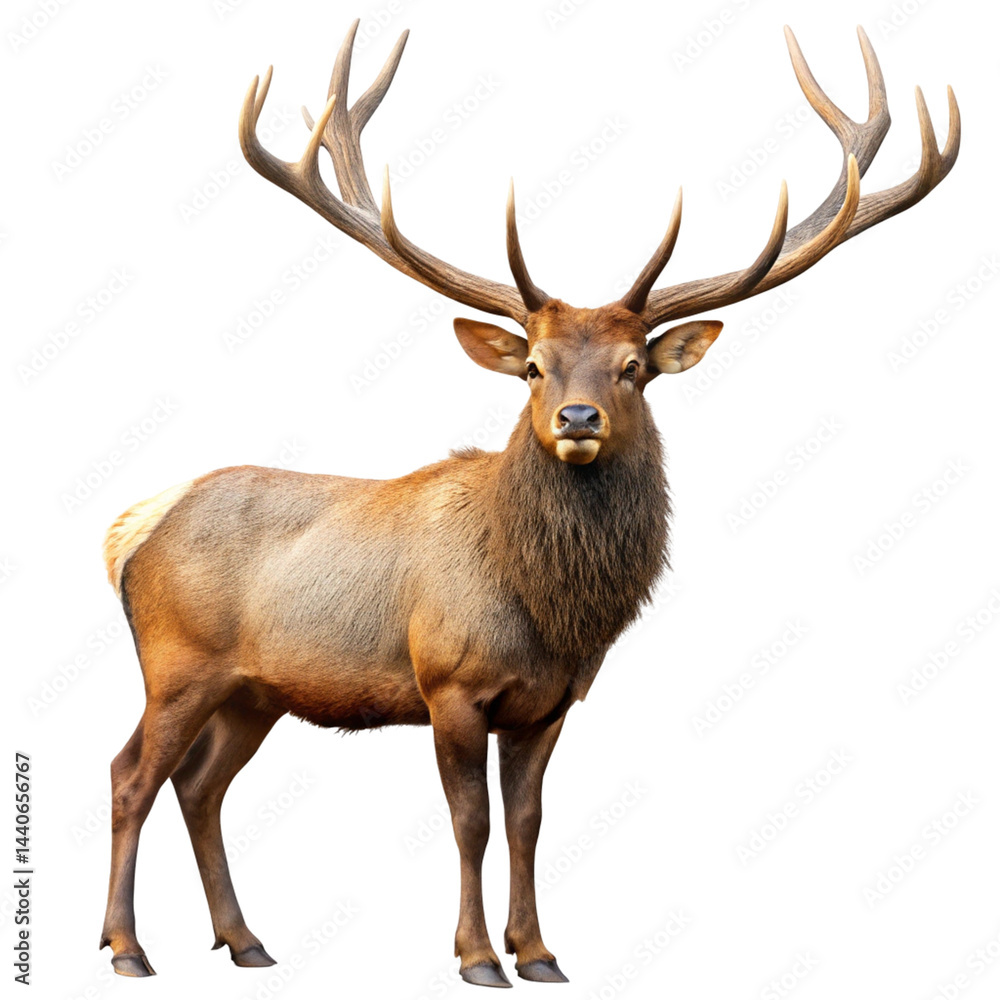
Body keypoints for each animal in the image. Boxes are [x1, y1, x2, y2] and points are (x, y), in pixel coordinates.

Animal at [99, 19, 959, 987]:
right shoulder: (449, 682)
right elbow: (470, 821)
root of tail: (132, 526)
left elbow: (529, 822)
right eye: (535, 367)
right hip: (179, 663)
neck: (551, 611)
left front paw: (540, 951)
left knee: (200, 785)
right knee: (131, 774)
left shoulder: (552, 702)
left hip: (256, 689)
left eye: (633, 368)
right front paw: (477, 957)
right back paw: (128, 948)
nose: (577, 419)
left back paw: (245, 940)